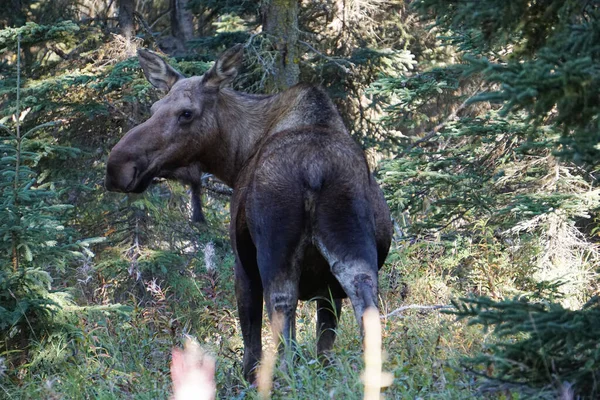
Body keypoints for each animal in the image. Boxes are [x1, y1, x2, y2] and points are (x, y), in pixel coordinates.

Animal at [104, 45, 394, 380]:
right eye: (154, 107)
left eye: (186, 113)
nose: (118, 167)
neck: (236, 156)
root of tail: (314, 169)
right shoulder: (328, 288)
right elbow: (325, 340)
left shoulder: (242, 264)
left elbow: (250, 336)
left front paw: (248, 378)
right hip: (351, 244)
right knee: (366, 301)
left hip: (274, 245)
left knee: (281, 305)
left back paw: (284, 375)